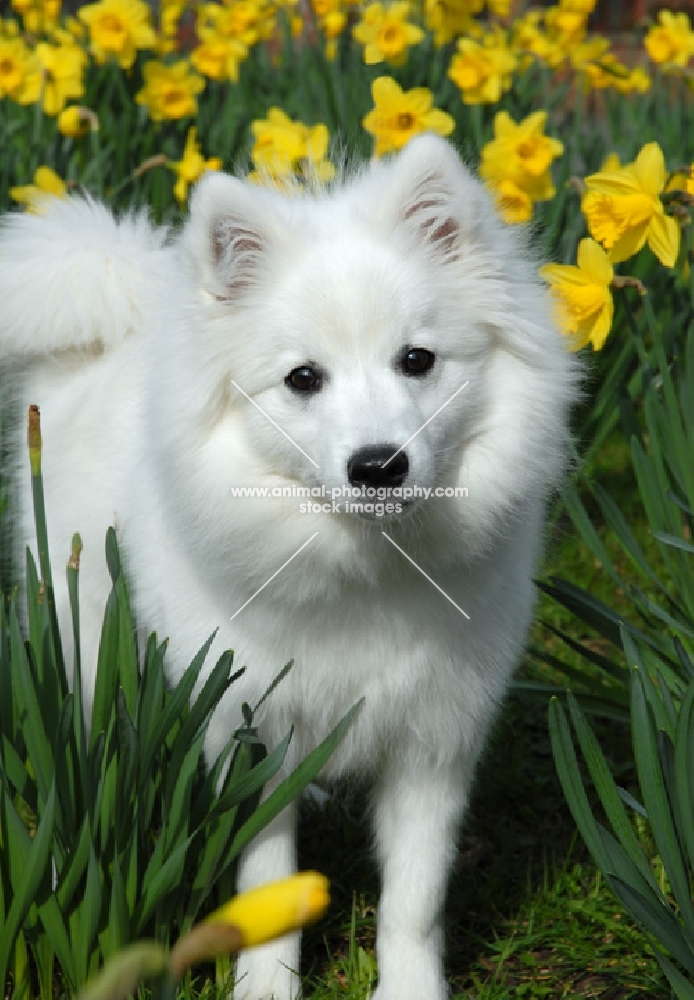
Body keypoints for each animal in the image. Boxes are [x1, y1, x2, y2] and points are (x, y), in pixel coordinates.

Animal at [0, 139, 576, 1000]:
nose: (379, 465)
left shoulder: (434, 742)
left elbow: (414, 899)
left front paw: (409, 990)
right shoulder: (253, 732)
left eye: (417, 360)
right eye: (304, 378)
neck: (366, 572)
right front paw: (265, 985)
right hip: (87, 638)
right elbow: (268, 881)